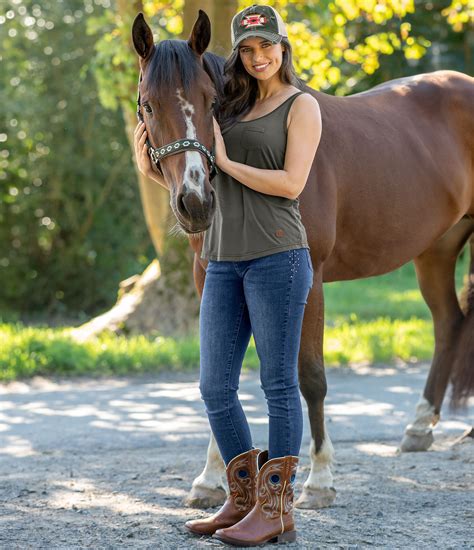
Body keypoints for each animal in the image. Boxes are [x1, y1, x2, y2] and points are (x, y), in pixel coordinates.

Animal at [132, 10, 474, 512]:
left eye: (212, 102)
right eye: (149, 106)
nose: (195, 202)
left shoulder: (308, 278)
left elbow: (310, 377)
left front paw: (321, 480)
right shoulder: (208, 278)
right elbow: (219, 373)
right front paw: (211, 478)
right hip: (437, 250)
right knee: (449, 322)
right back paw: (418, 427)